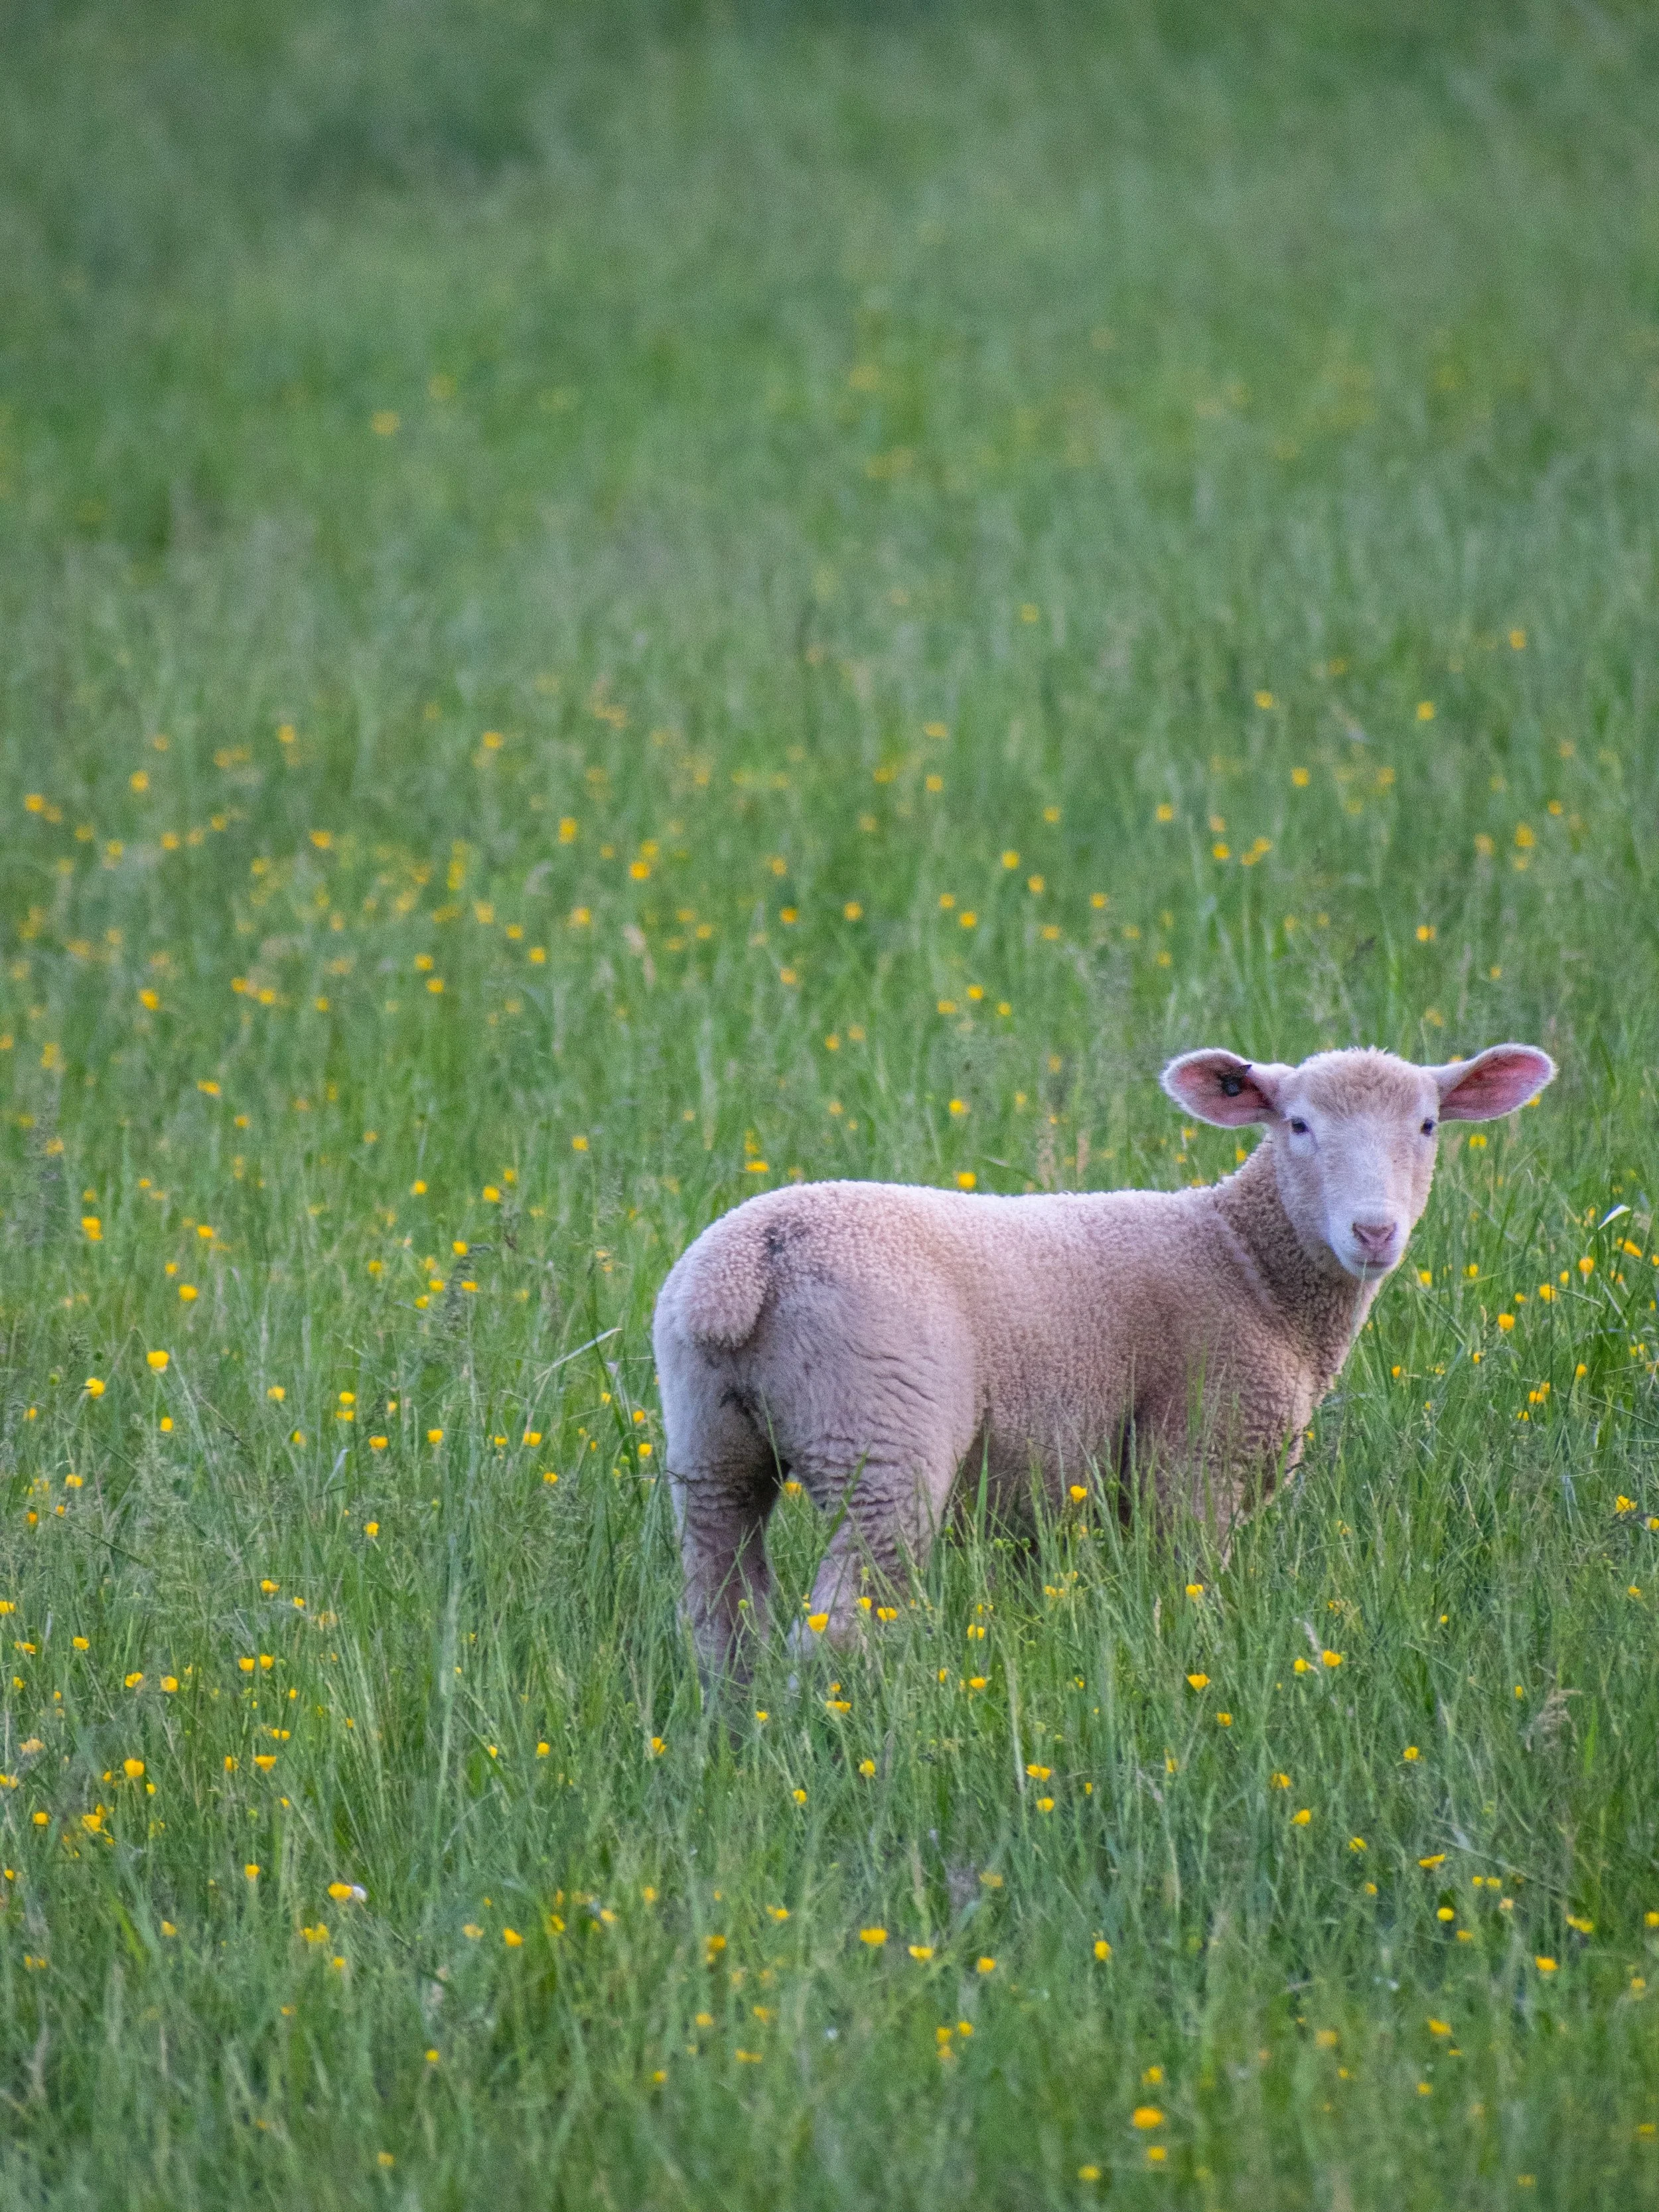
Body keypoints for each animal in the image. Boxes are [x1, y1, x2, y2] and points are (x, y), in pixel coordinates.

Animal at [653, 1041, 1554, 1671]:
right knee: (839, 1629)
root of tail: (747, 1263)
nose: (1374, 1232)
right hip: (879, 1443)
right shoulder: (1197, 1460)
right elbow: (1192, 1591)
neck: (1247, 1264)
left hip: (709, 1444)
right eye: (1297, 1125)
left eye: (1427, 1126)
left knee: (718, 1616)